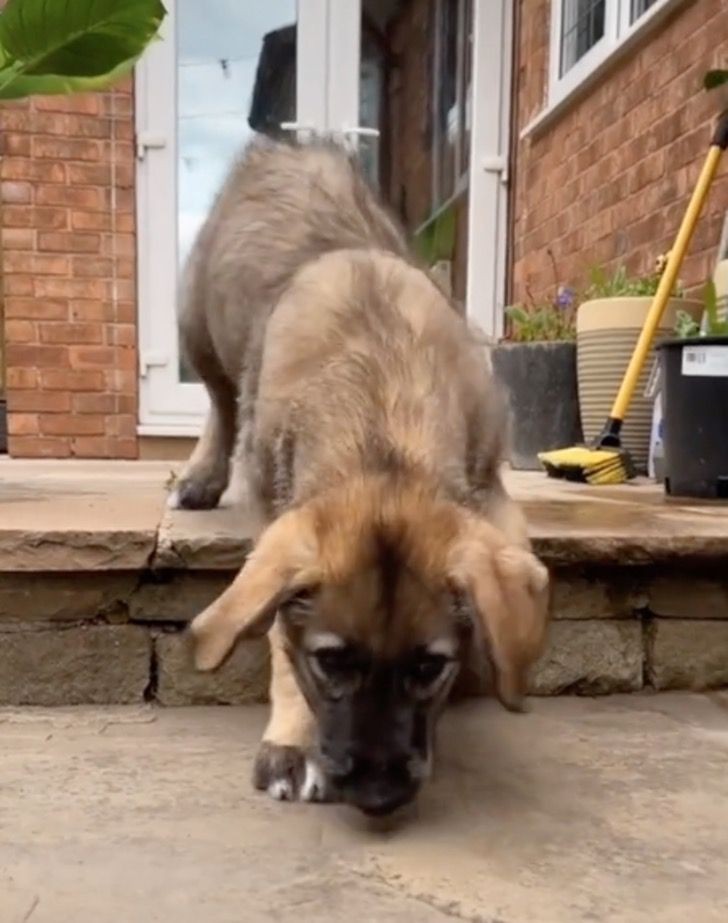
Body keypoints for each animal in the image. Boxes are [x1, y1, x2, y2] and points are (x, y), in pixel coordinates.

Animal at [179, 137, 548, 816]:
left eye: (430, 667)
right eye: (330, 662)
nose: (378, 798)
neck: (383, 436)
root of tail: (283, 146)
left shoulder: (492, 493)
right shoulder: (276, 512)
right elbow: (278, 637)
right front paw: (292, 742)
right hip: (197, 328)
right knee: (220, 400)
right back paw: (200, 476)